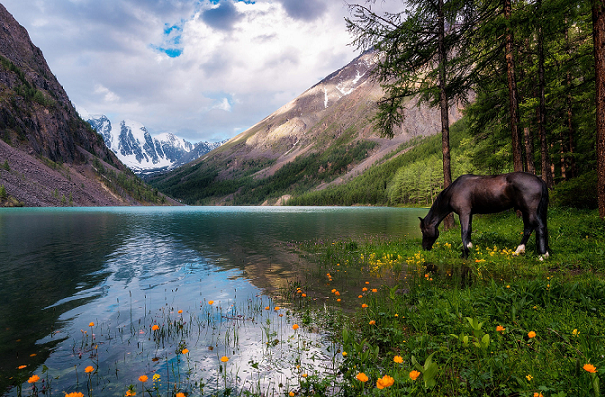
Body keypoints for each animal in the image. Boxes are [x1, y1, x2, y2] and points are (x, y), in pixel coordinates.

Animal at [420, 172, 548, 258]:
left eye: (423, 230)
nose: (424, 248)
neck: (453, 191)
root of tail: (538, 179)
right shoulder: (470, 213)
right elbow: (469, 230)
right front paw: (470, 248)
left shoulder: (464, 212)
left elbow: (464, 232)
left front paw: (465, 253)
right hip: (527, 211)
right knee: (529, 228)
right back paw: (519, 251)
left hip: (530, 210)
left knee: (538, 226)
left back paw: (542, 255)